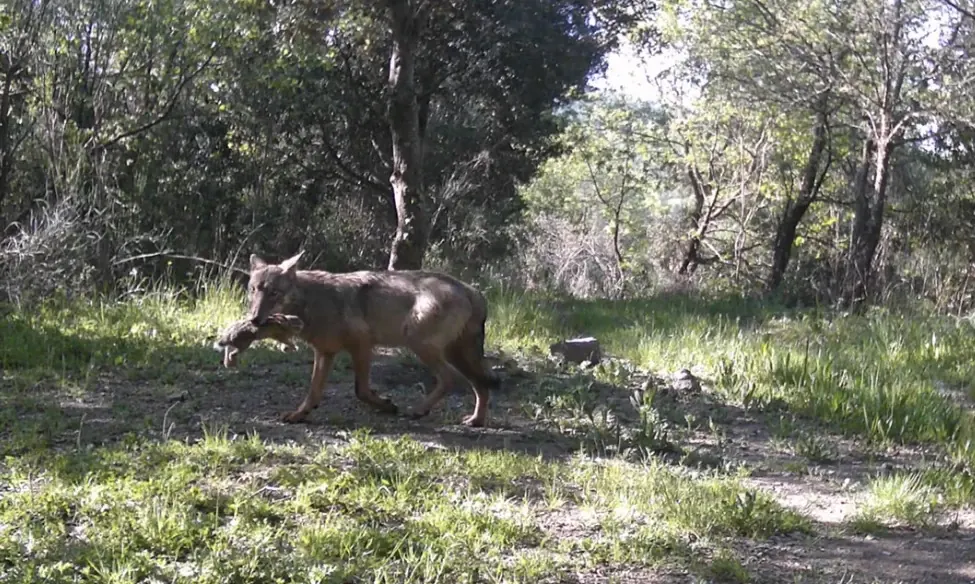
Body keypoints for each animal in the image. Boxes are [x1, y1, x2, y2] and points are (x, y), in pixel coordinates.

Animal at [246, 252, 498, 427]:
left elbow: (361, 390)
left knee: (451, 379)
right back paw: (475, 421)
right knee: (481, 384)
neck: (311, 301)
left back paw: (419, 410)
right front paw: (299, 415)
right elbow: (313, 392)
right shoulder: (325, 353)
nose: (254, 319)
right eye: (253, 290)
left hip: (421, 345)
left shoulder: (362, 345)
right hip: (455, 354)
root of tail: (471, 290)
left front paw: (387, 406)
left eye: (274, 293)